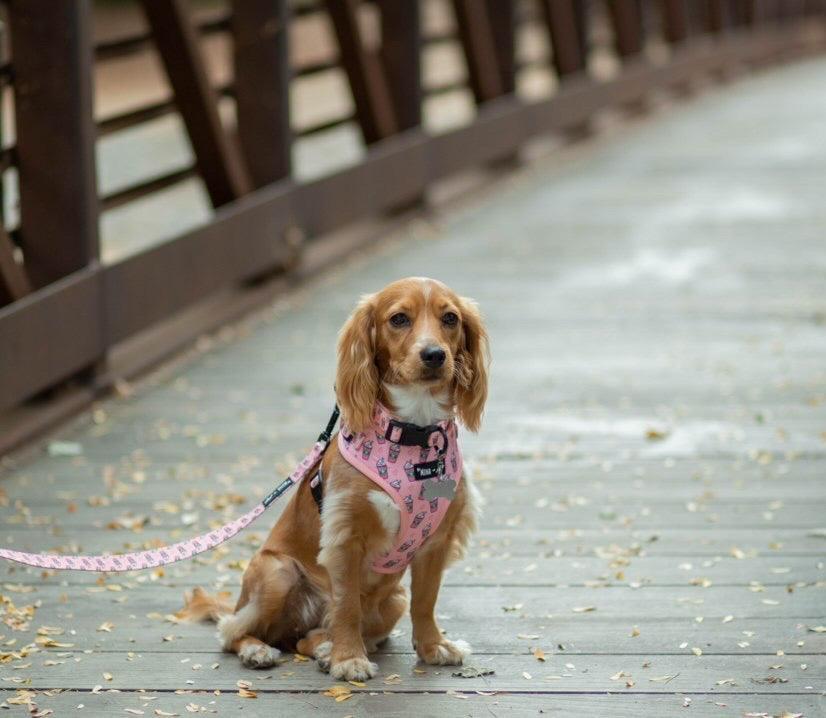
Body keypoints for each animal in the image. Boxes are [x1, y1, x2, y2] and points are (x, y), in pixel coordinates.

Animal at [180, 278, 486, 684]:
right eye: (399, 319)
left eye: (450, 318)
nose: (434, 355)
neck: (413, 436)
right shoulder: (345, 538)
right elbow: (346, 607)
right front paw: (348, 659)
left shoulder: (437, 541)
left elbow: (426, 600)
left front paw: (434, 646)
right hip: (278, 572)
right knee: (233, 631)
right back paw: (259, 650)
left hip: (391, 601)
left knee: (304, 639)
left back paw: (324, 649)